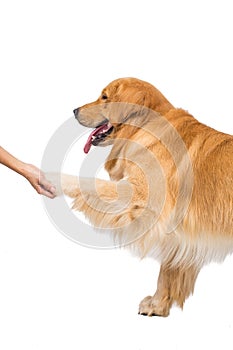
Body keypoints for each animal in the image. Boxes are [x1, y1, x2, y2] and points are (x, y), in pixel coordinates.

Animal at [57, 78, 233, 316]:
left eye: (104, 97)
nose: (74, 110)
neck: (145, 127)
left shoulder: (142, 200)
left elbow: (89, 184)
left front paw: (52, 177)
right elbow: (168, 269)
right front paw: (159, 305)